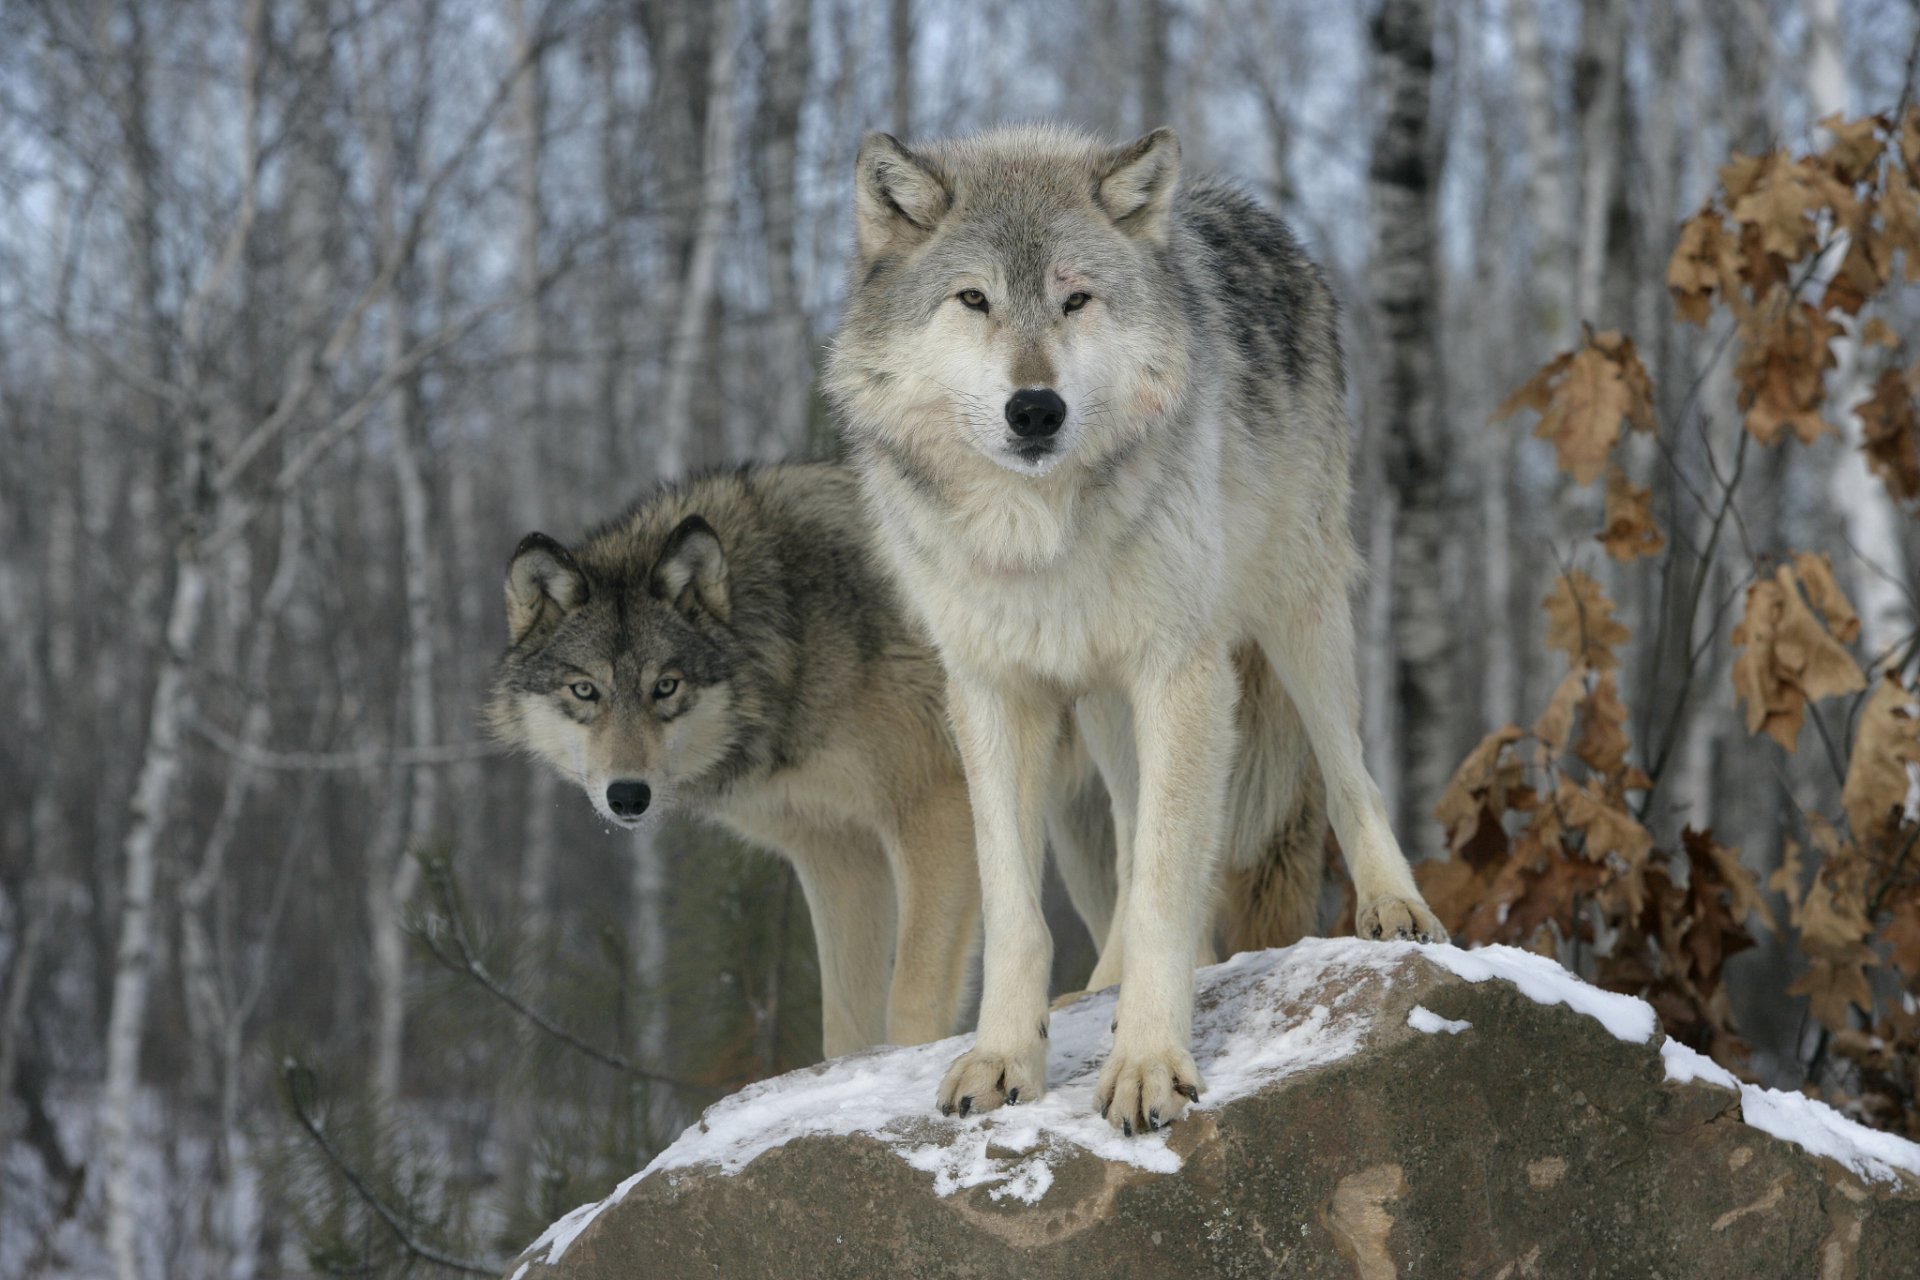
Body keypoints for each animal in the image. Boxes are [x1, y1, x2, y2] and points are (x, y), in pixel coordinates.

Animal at [821, 124, 1443, 1136]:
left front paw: (1149, 1064)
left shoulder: (1182, 673)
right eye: (973, 299)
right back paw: (1098, 988)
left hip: (1296, 612)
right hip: (1107, 705)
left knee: (1350, 774)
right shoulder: (991, 693)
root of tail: (1249, 213)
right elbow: (1019, 908)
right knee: (1126, 822)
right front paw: (1005, 1057)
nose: (1036, 409)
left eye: (1076, 298)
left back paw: (1395, 907)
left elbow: (1161, 886)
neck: (1034, 532)